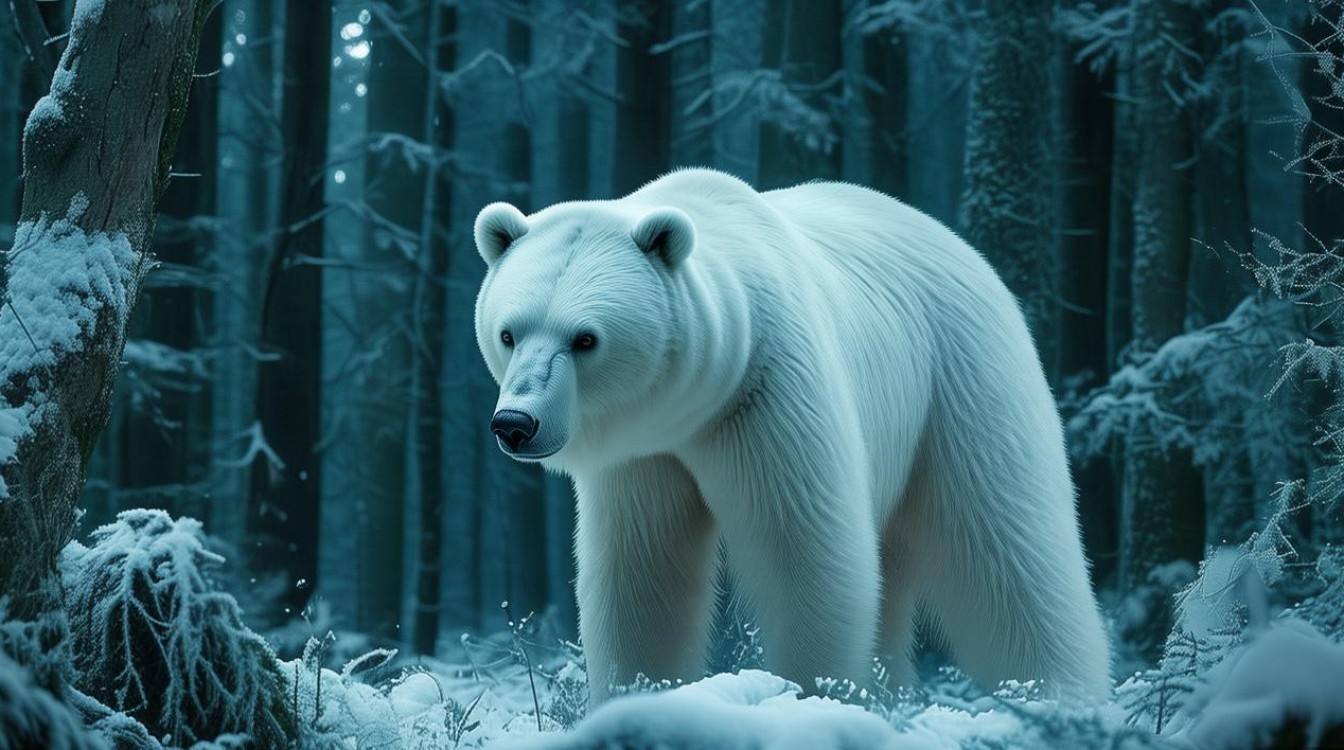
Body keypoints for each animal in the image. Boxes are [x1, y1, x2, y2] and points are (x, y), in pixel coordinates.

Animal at [472, 168, 1111, 703]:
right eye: (509, 332)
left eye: (585, 339)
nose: (516, 424)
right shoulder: (644, 456)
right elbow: (640, 579)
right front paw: (641, 692)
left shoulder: (770, 391)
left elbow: (805, 556)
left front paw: (809, 690)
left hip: (961, 382)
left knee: (1007, 547)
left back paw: (1057, 696)